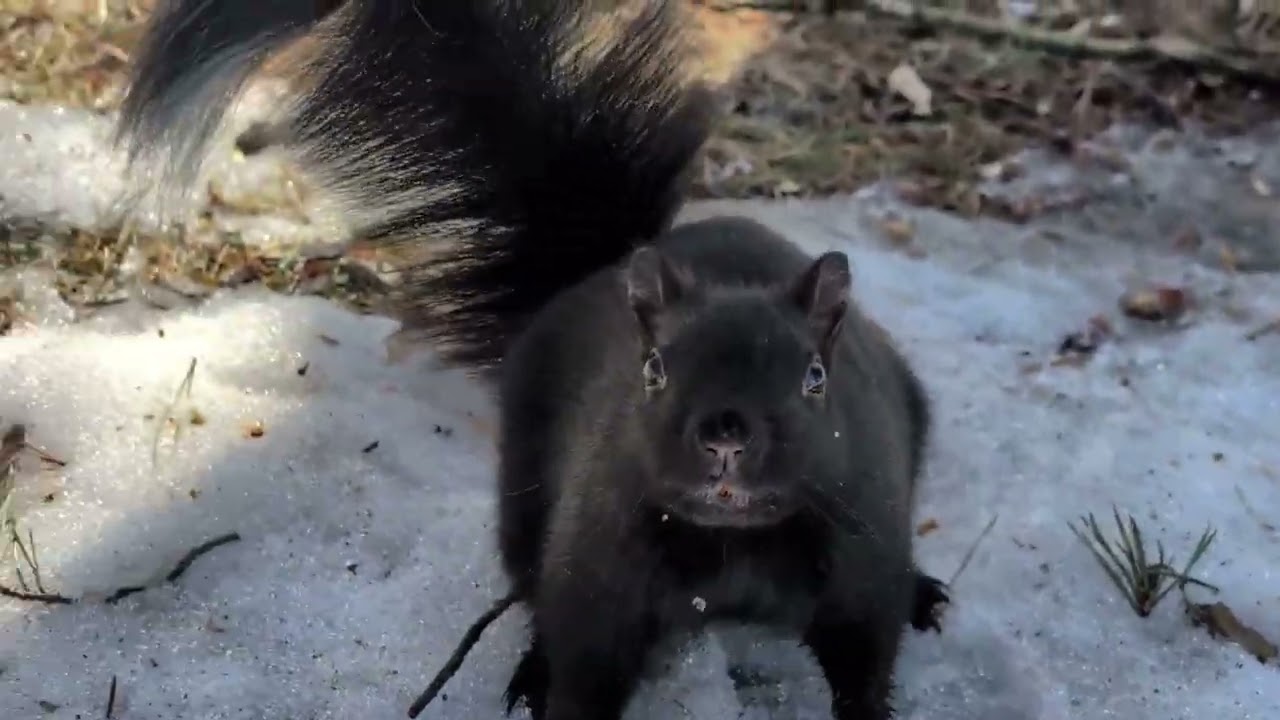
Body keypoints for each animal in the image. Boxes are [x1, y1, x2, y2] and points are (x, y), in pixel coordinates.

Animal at [115, 0, 949, 718]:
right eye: (653, 370)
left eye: (815, 377)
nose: (725, 436)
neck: (731, 546)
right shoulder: (599, 570)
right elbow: (584, 665)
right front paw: (552, 680)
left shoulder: (860, 563)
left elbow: (865, 666)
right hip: (525, 495)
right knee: (534, 589)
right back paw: (529, 669)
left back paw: (925, 590)